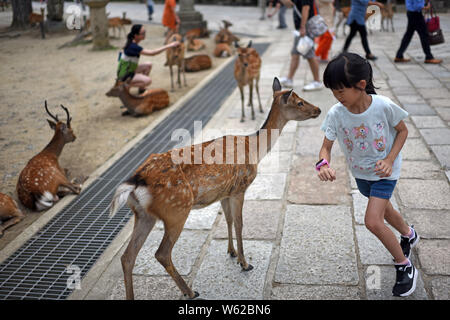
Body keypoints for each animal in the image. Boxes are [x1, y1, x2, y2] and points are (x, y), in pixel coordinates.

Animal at [108, 77, 320, 300]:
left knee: (127, 257)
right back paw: (190, 291)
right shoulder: (240, 188)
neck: (255, 149)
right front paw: (245, 263)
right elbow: (239, 224)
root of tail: (135, 182)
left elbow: (228, 220)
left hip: (143, 215)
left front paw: (232, 252)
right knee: (162, 253)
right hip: (176, 211)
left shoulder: (225, 192)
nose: (319, 109)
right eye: (299, 102)